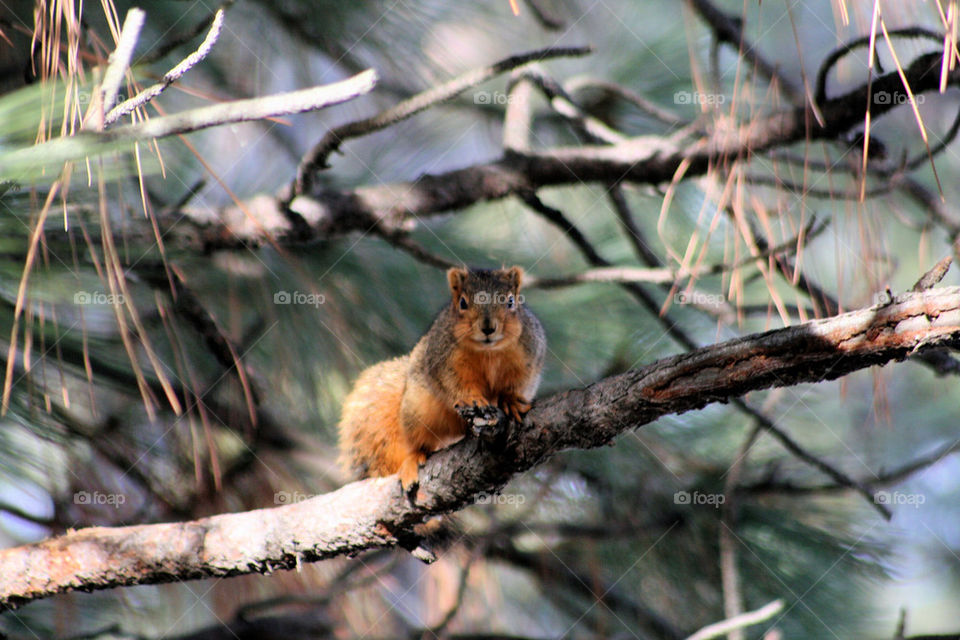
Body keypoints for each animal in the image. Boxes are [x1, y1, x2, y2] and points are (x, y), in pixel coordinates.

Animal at [338, 266, 546, 492]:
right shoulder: (444, 361)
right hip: (415, 410)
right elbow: (454, 384)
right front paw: (471, 398)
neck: (488, 352)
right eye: (462, 302)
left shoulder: (529, 357)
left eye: (510, 301)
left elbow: (519, 384)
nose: (488, 328)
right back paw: (413, 459)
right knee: (416, 443)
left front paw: (511, 402)